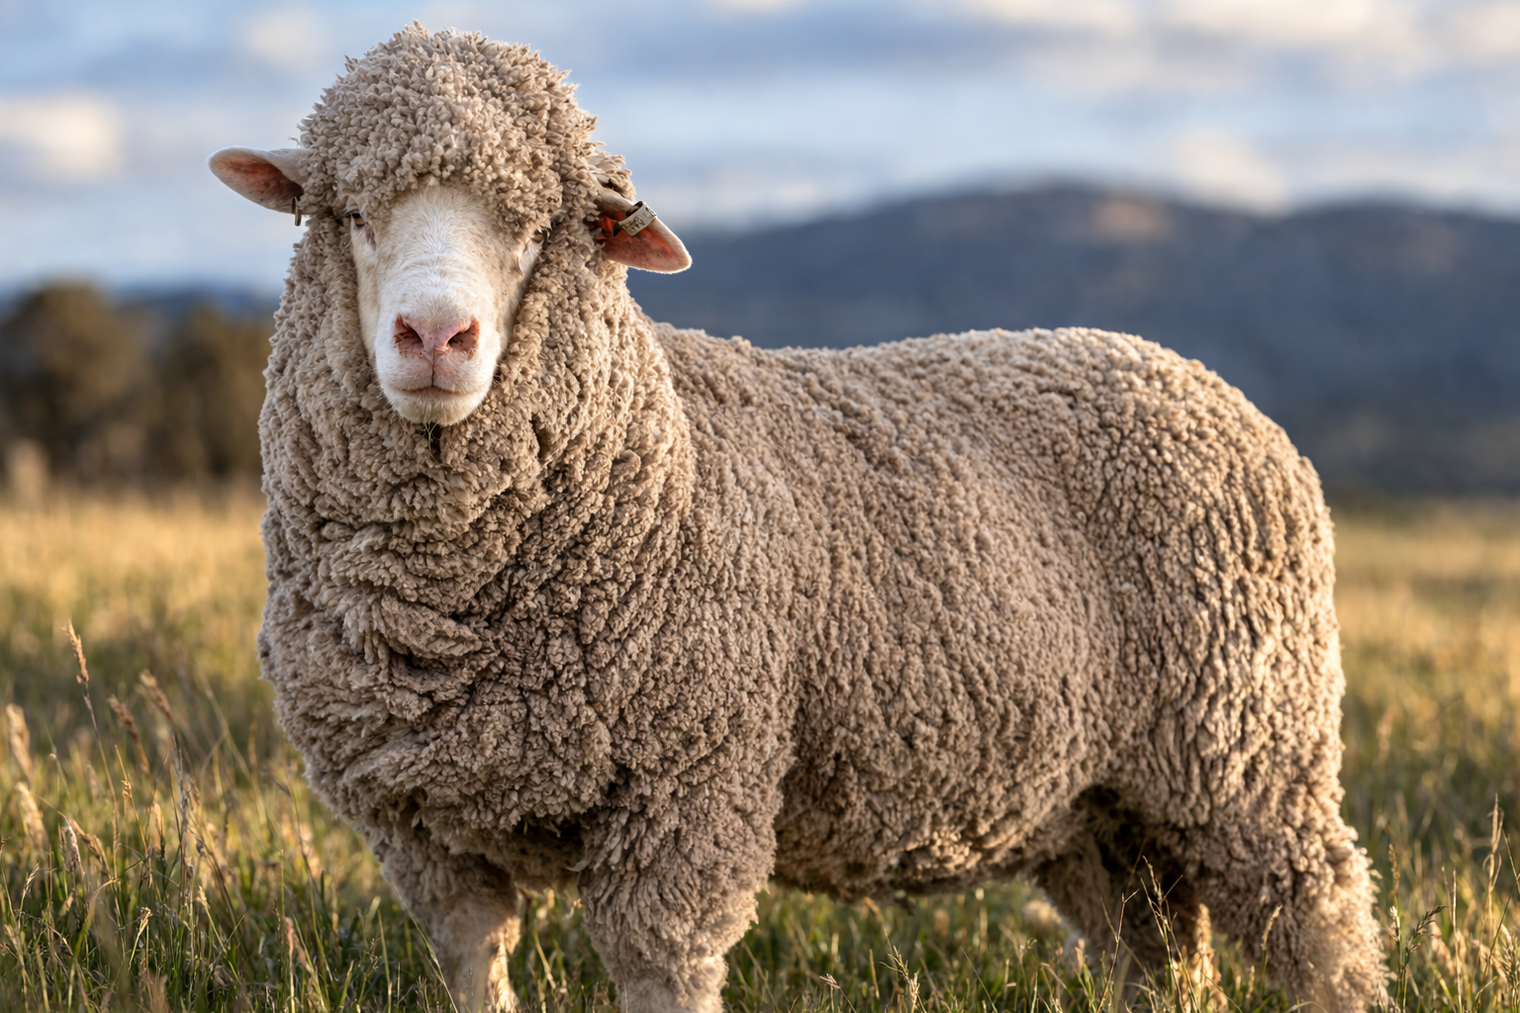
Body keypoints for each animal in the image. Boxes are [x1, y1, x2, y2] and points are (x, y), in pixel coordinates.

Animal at [209, 25, 1387, 1013]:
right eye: (348, 213)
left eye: (539, 228)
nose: (434, 337)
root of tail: (1193, 376)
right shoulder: (423, 835)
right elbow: (471, 969)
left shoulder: (687, 799)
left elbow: (661, 976)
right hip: (1101, 801)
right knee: (1157, 951)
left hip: (1251, 748)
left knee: (1322, 922)